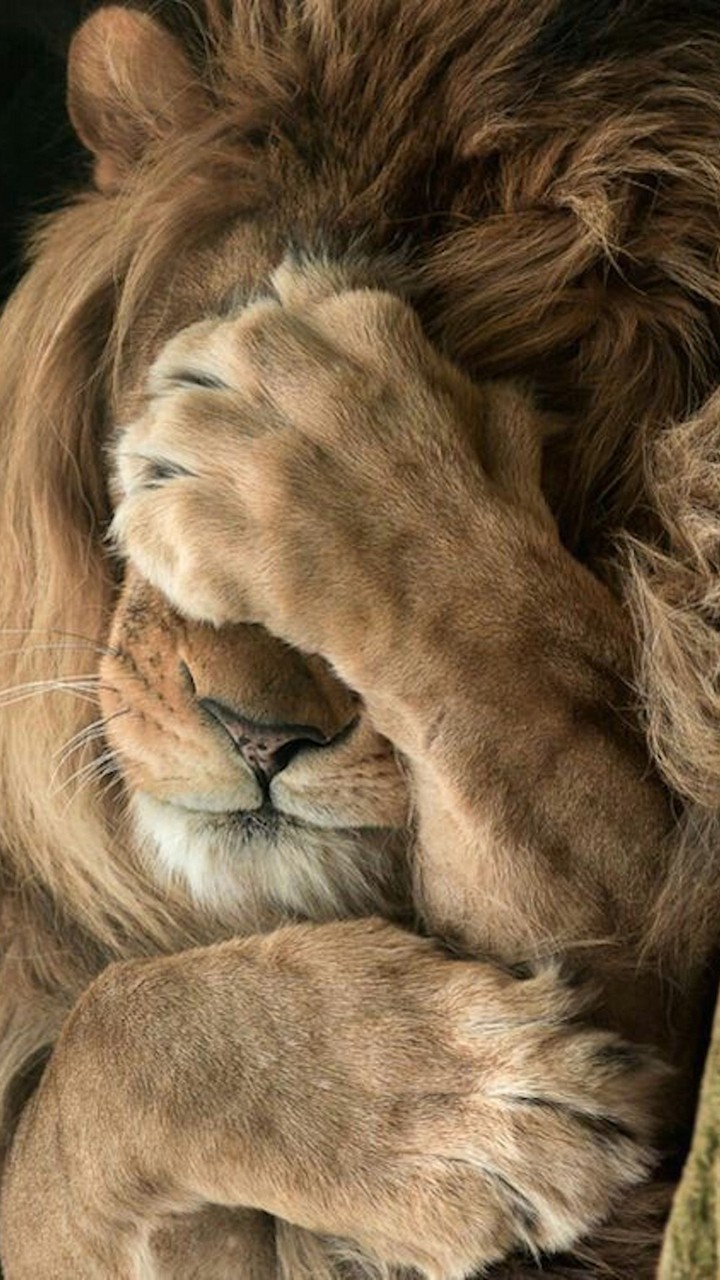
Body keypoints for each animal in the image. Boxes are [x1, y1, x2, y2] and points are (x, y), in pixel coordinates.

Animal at [1, 2, 720, 1276]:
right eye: (158, 418)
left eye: (548, 479)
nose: (259, 736)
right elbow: (103, 1039)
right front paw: (443, 1109)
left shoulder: (661, 1006)